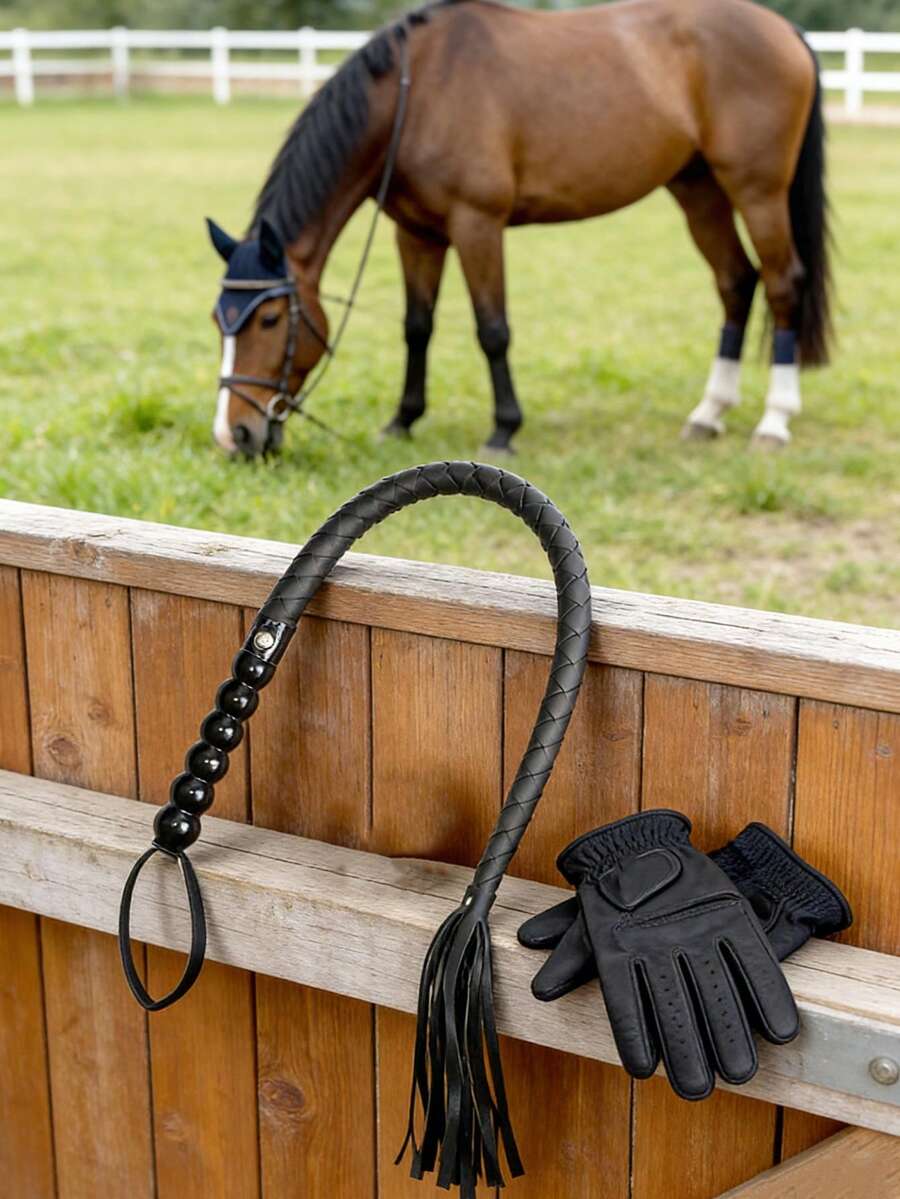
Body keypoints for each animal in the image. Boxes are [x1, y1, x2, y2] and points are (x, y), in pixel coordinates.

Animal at [208, 0, 831, 459]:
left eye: (269, 319)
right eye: (219, 320)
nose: (235, 435)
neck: (417, 93)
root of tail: (782, 28)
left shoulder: (477, 225)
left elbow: (492, 330)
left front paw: (504, 429)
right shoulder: (417, 234)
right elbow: (417, 327)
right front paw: (403, 420)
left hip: (757, 190)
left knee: (782, 284)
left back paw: (774, 420)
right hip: (698, 190)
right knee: (736, 281)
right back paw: (709, 412)